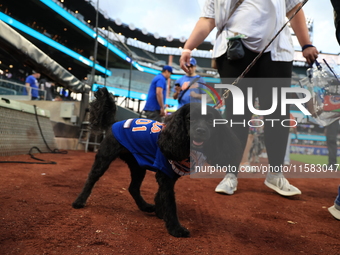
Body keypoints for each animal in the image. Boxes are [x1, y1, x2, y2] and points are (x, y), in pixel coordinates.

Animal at [72, 87, 242, 237]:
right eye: (190, 118)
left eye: (210, 121)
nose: (201, 131)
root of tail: (113, 123)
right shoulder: (165, 176)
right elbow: (170, 203)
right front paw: (175, 228)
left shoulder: (168, 176)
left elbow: (161, 196)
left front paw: (161, 213)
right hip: (104, 159)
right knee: (91, 179)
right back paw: (79, 201)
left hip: (137, 167)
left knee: (133, 188)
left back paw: (145, 206)